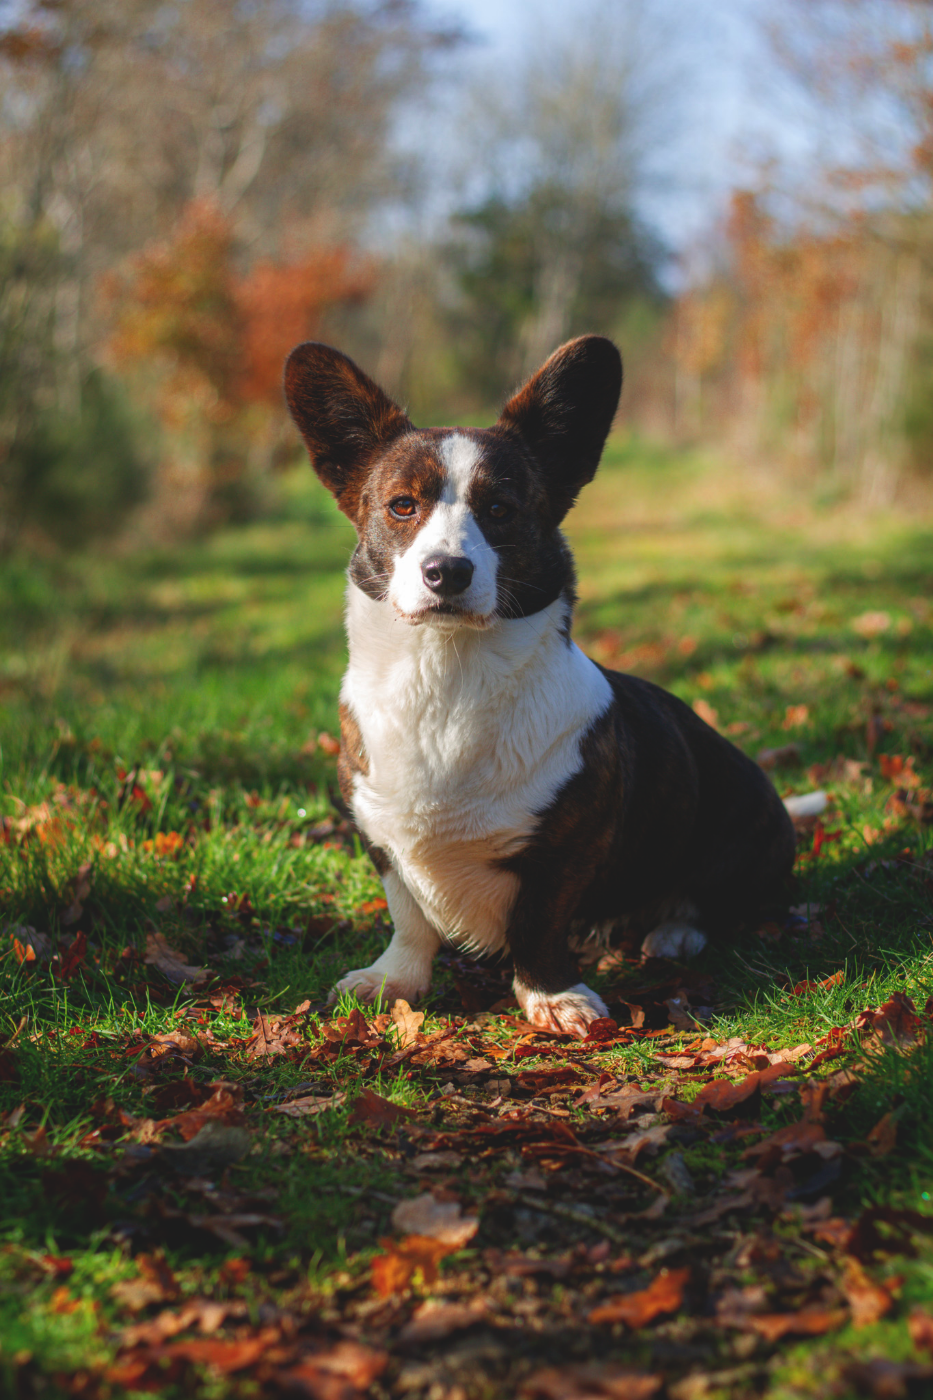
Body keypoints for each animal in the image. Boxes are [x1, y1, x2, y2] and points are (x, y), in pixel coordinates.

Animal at [284, 335, 796, 1036]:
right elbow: (409, 917)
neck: (446, 677)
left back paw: (673, 934)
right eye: (402, 506)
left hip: (742, 828)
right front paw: (393, 981)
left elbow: (540, 921)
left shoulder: (566, 849)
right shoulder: (381, 837)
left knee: (707, 900)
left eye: (500, 510)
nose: (447, 572)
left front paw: (553, 997)